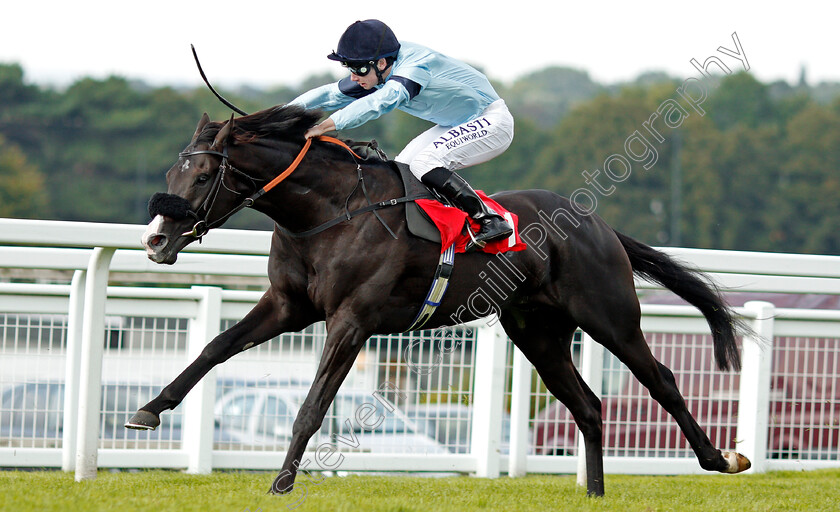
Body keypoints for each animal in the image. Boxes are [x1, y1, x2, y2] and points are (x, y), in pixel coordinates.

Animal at [128, 104, 752, 496]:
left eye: (202, 176)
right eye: (172, 172)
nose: (155, 240)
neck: (329, 212)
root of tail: (597, 223)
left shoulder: (351, 321)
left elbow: (311, 406)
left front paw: (282, 482)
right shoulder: (288, 305)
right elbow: (215, 348)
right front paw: (150, 410)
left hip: (609, 318)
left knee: (661, 380)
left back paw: (720, 457)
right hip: (536, 331)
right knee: (588, 406)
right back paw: (595, 493)